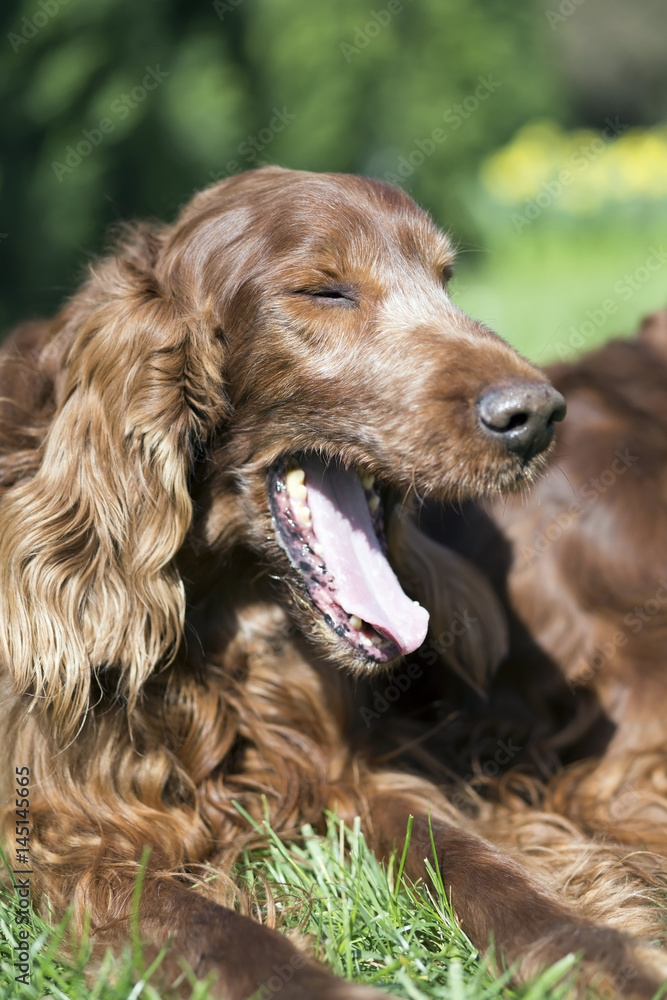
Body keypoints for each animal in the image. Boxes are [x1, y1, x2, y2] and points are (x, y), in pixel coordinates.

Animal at [0, 166, 664, 1000]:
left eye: (445, 280)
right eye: (324, 292)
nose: (536, 416)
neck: (221, 610)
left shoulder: (355, 771)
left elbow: (474, 860)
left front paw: (597, 954)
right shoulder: (76, 839)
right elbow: (221, 937)